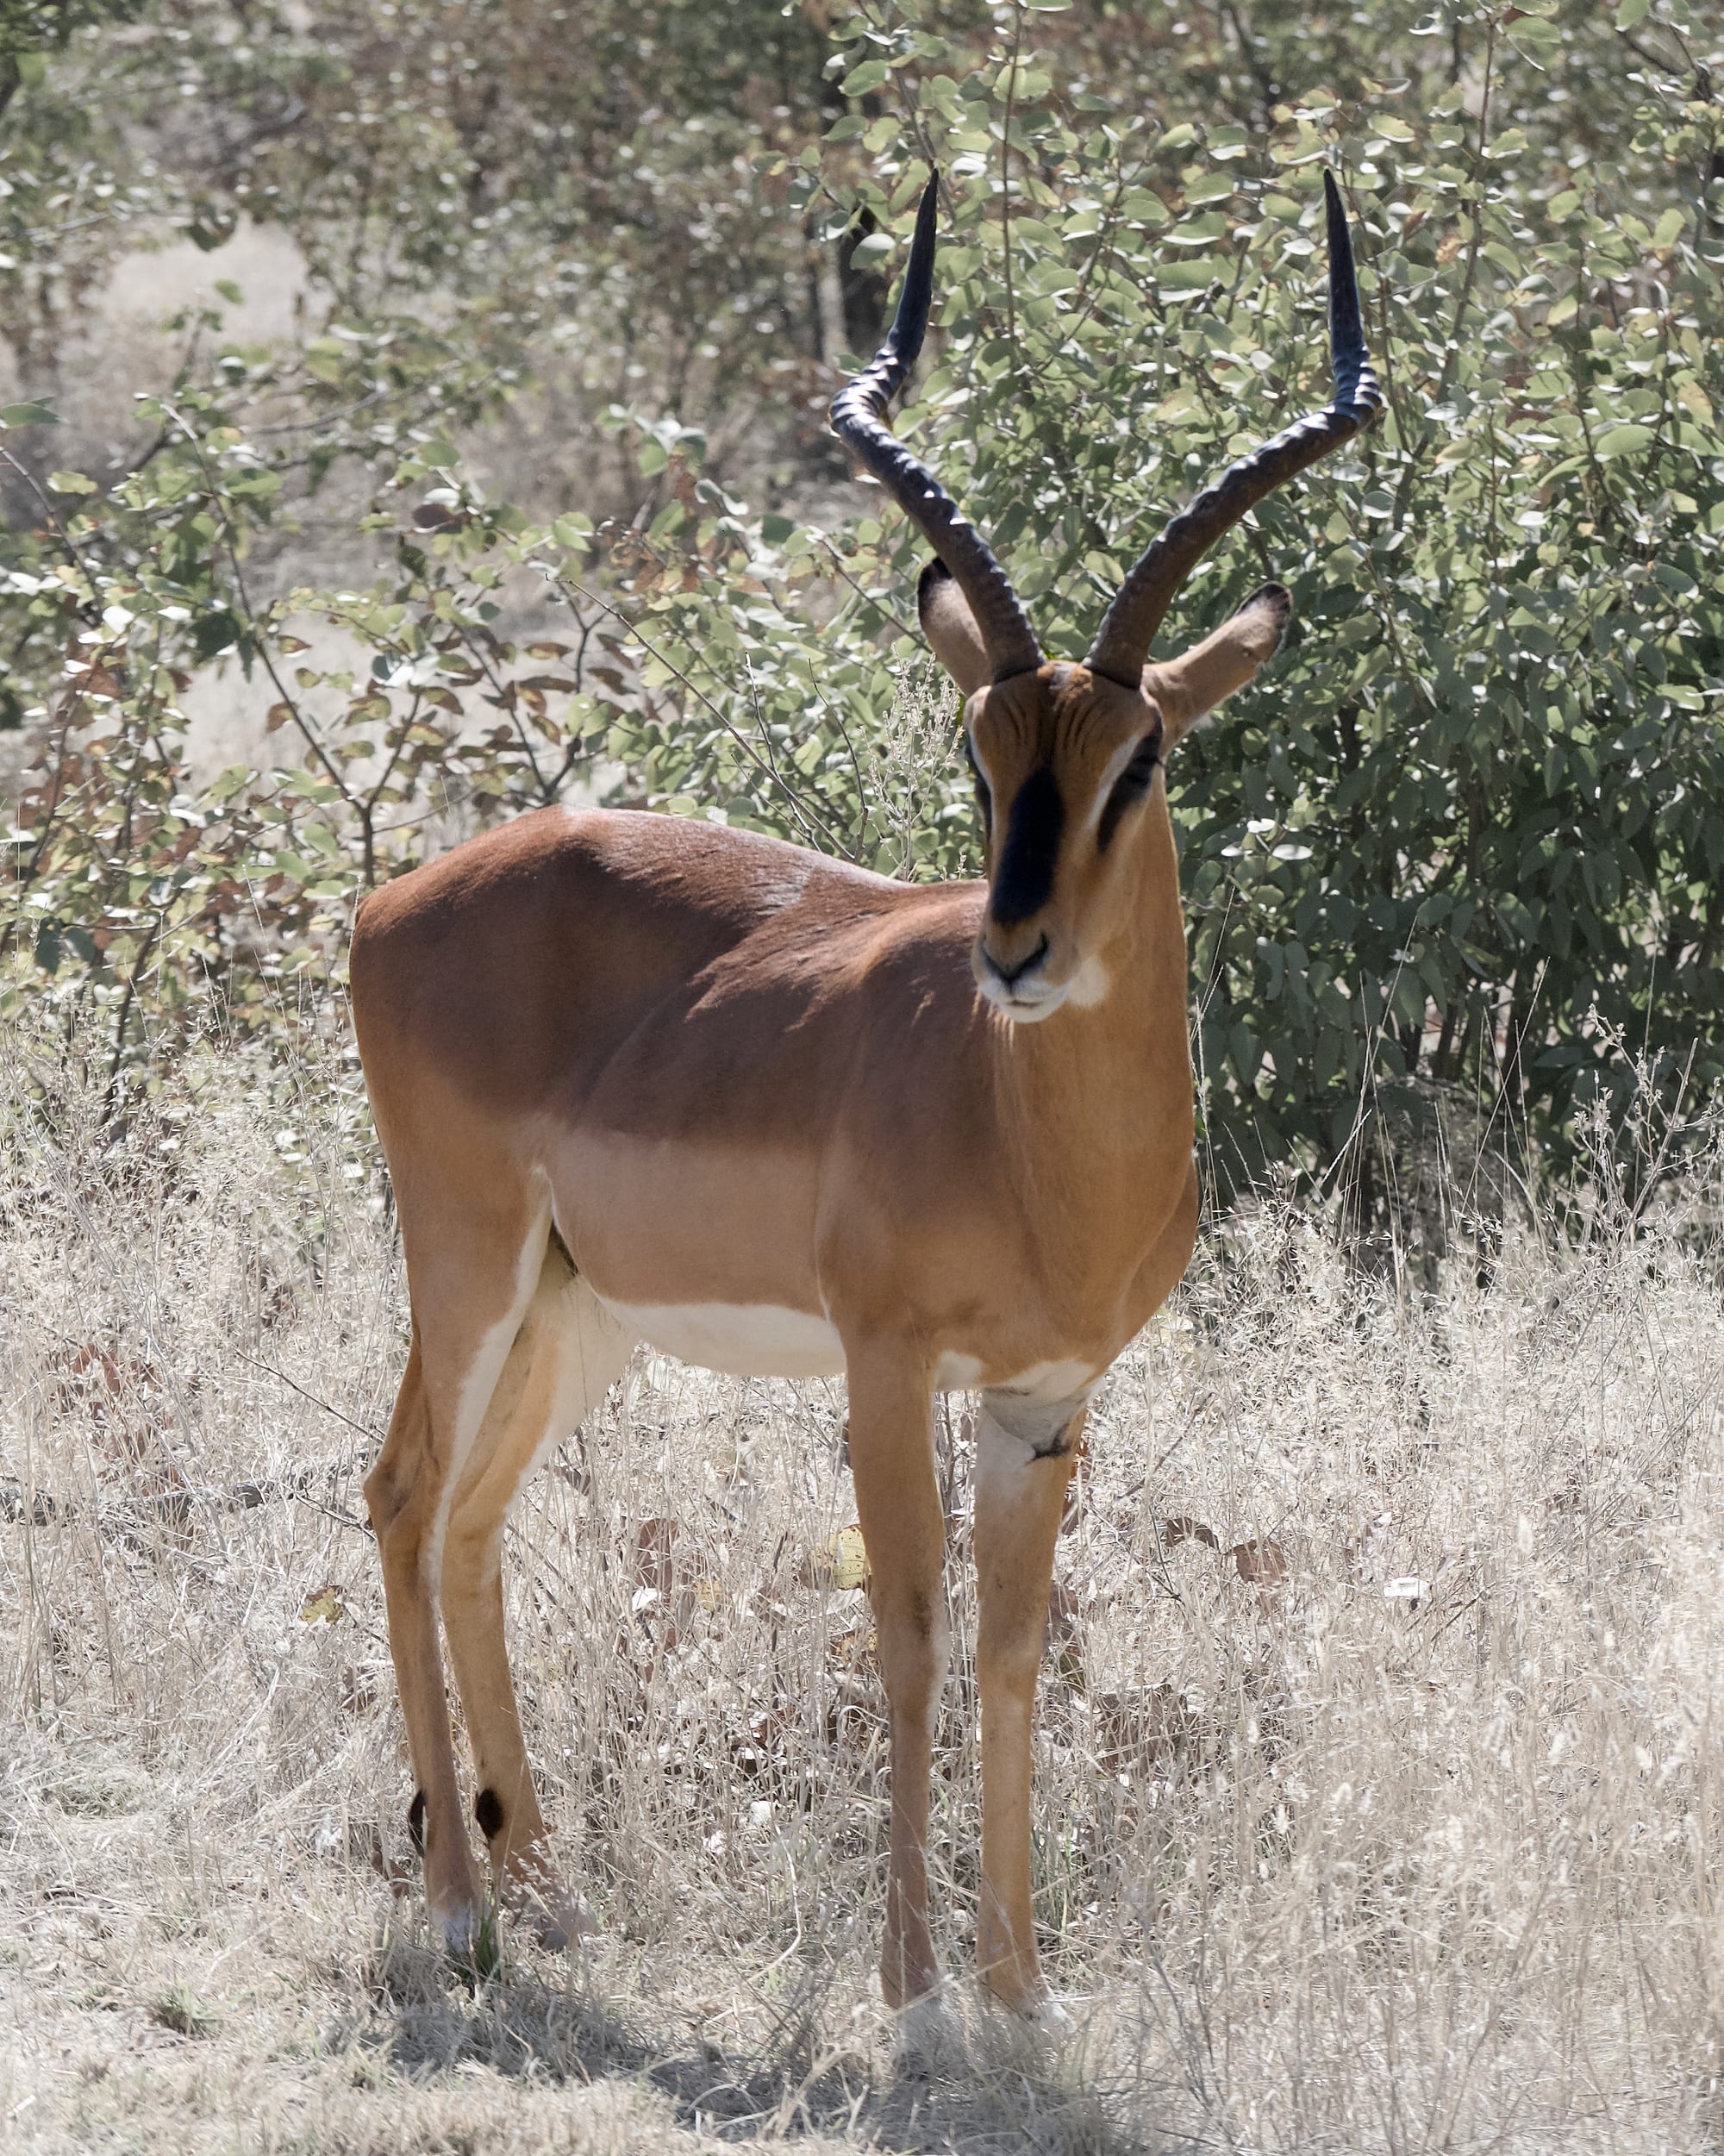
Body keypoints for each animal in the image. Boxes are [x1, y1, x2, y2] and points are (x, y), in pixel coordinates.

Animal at [352, 168, 1380, 2017]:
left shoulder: (1046, 1395)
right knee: (401, 1499)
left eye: (1142, 757)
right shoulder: (888, 1365)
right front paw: (909, 1990)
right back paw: (463, 1911)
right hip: (467, 1266)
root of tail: (397, 899)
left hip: (574, 1309)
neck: (1035, 1152)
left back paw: (548, 1892)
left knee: (469, 1521)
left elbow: (1014, 1650)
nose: (1010, 948)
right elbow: (904, 1631)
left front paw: (1022, 1993)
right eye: (980, 747)